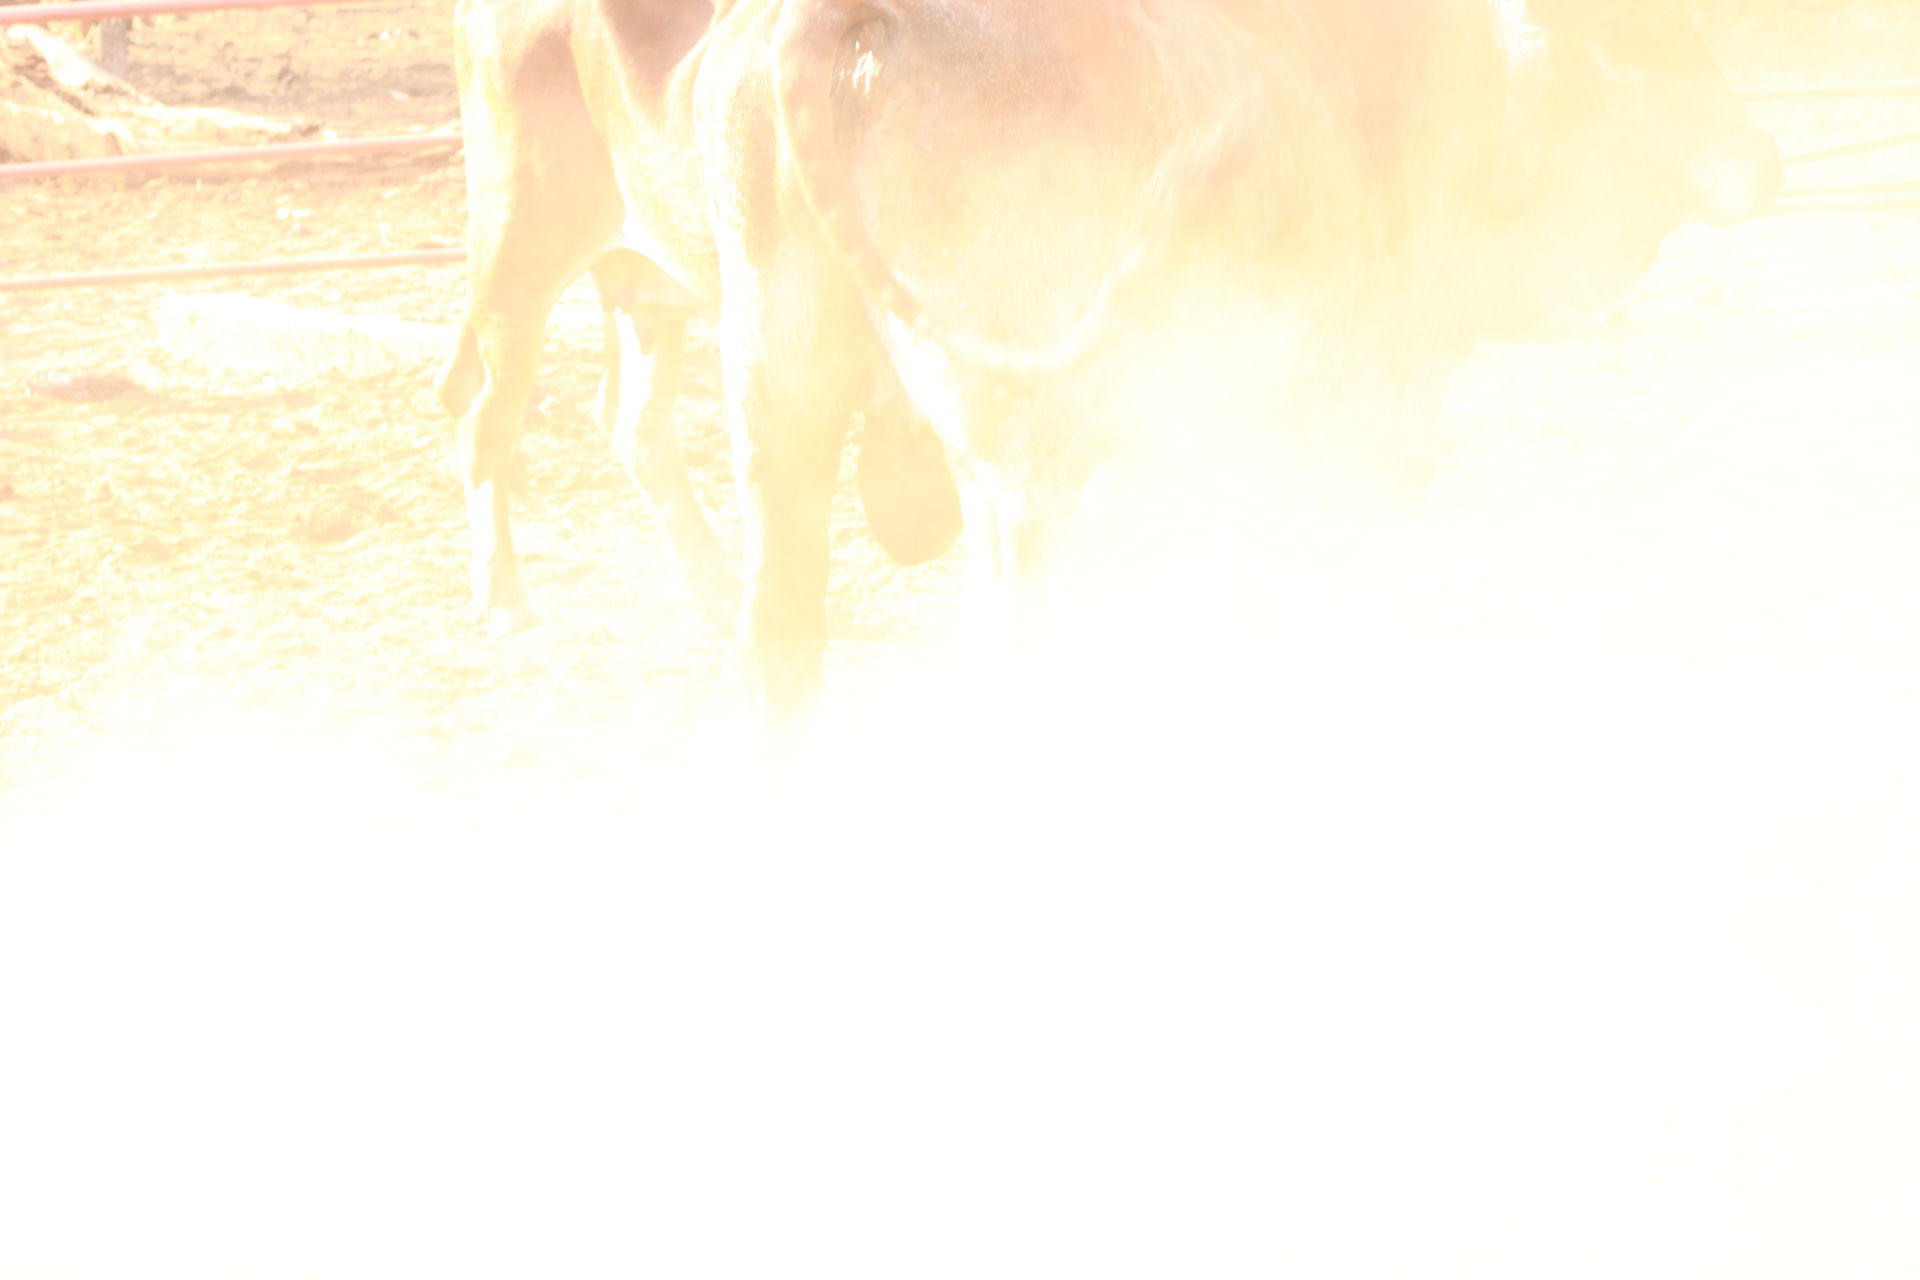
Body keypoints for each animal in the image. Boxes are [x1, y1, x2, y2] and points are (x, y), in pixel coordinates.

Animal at [437, 0, 1780, 722]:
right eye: (1635, 35)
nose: (1762, 158)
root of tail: (837, 24)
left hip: (768, 373)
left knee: (763, 613)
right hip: (529, 254)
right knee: (488, 411)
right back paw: (502, 599)